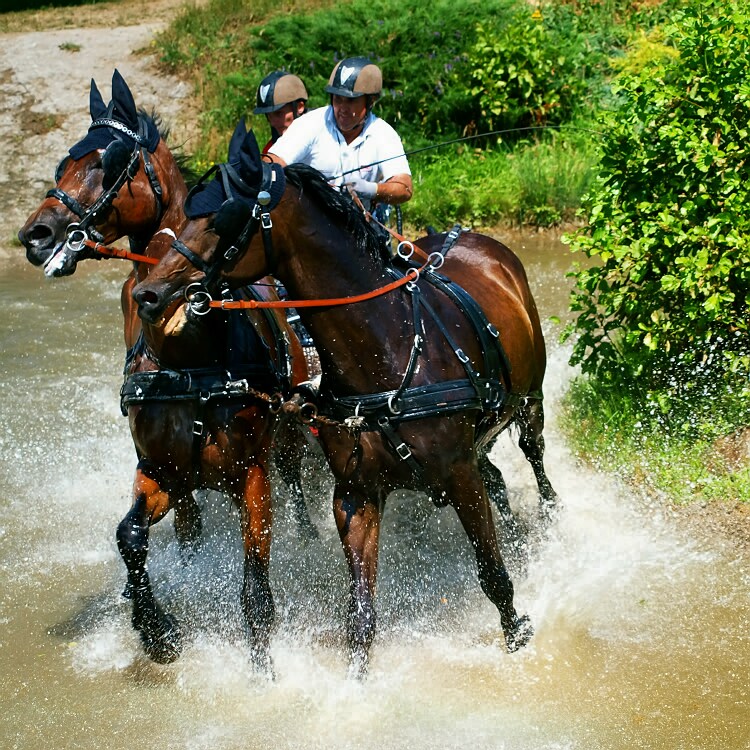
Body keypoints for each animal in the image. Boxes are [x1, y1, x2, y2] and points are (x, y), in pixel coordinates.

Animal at [16, 69, 318, 668]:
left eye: (109, 162)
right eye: (62, 163)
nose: (35, 235)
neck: (190, 360)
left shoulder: (251, 474)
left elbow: (256, 588)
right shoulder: (161, 470)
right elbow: (131, 537)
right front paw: (155, 627)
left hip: (292, 432)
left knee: (296, 478)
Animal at [132, 138, 560, 680]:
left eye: (223, 217)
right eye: (188, 211)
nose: (149, 294)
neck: (387, 347)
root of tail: (480, 242)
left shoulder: (459, 473)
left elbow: (490, 570)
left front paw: (516, 631)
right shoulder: (356, 493)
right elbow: (360, 611)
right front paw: (355, 684)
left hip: (529, 403)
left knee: (534, 454)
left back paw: (551, 518)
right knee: (498, 477)